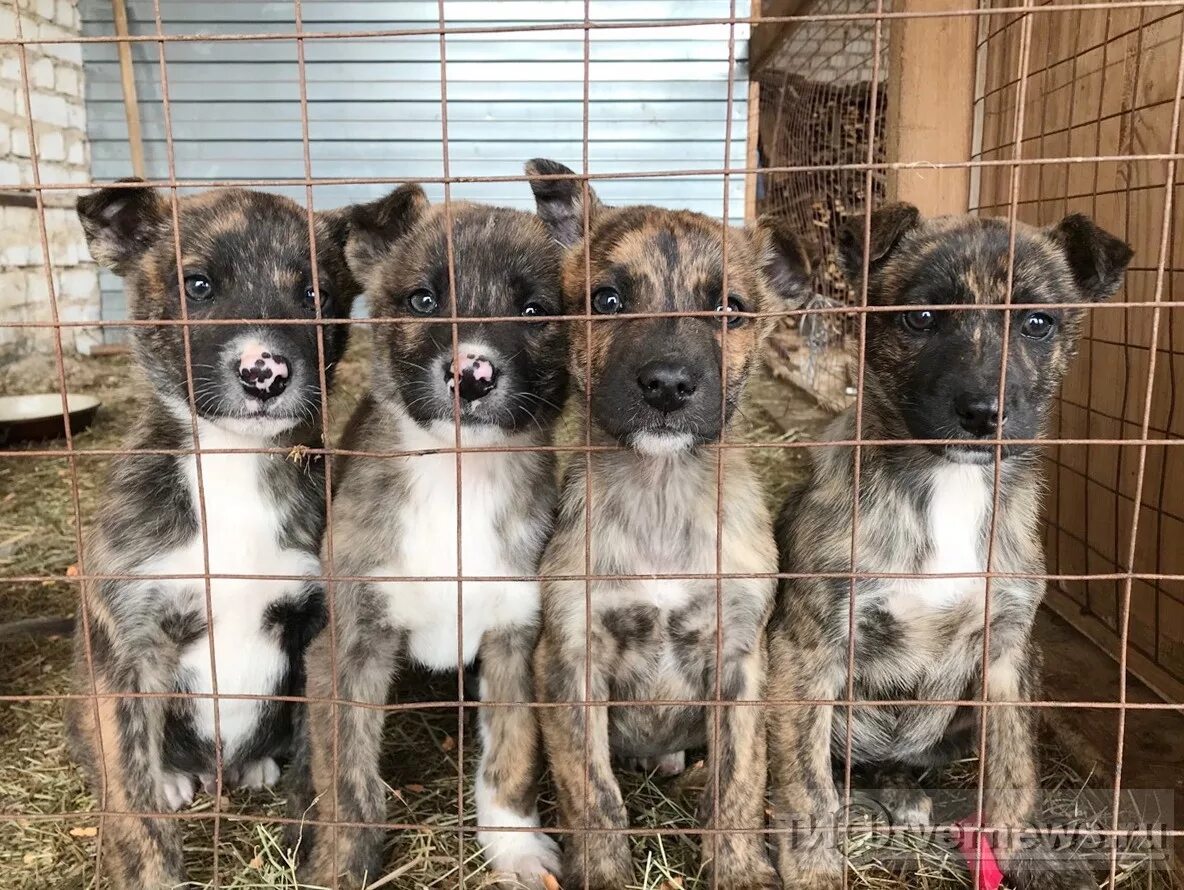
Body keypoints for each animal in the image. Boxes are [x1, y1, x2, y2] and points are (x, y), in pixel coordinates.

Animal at [64, 181, 357, 890]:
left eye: (315, 293)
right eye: (196, 285)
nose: (265, 372)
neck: (233, 462)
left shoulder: (318, 630)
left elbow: (316, 758)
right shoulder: (128, 648)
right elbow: (132, 801)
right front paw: (152, 870)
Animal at [530, 158, 814, 890]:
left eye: (730, 310)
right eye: (606, 300)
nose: (666, 385)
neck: (660, 494)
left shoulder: (740, 659)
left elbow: (740, 780)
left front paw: (738, 868)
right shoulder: (569, 659)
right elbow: (593, 791)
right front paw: (602, 872)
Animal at [762, 203, 1131, 890]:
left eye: (1037, 323)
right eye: (922, 317)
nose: (984, 413)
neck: (947, 485)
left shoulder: (1009, 654)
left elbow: (1015, 770)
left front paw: (1026, 851)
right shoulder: (807, 647)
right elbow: (805, 785)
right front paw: (812, 869)